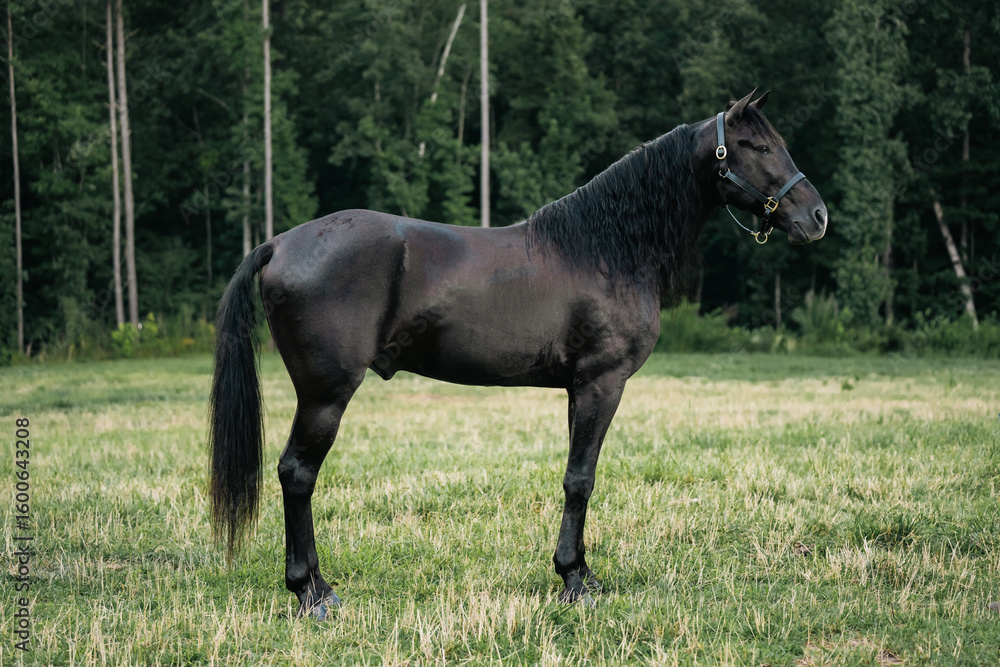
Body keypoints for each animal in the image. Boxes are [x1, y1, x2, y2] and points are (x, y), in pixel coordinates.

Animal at [209, 90, 828, 618]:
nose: (817, 216)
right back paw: (311, 592)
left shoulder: (578, 388)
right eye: (756, 146)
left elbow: (578, 475)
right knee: (297, 473)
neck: (605, 249)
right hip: (325, 393)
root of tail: (279, 243)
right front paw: (574, 581)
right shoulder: (602, 382)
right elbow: (581, 478)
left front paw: (583, 573)